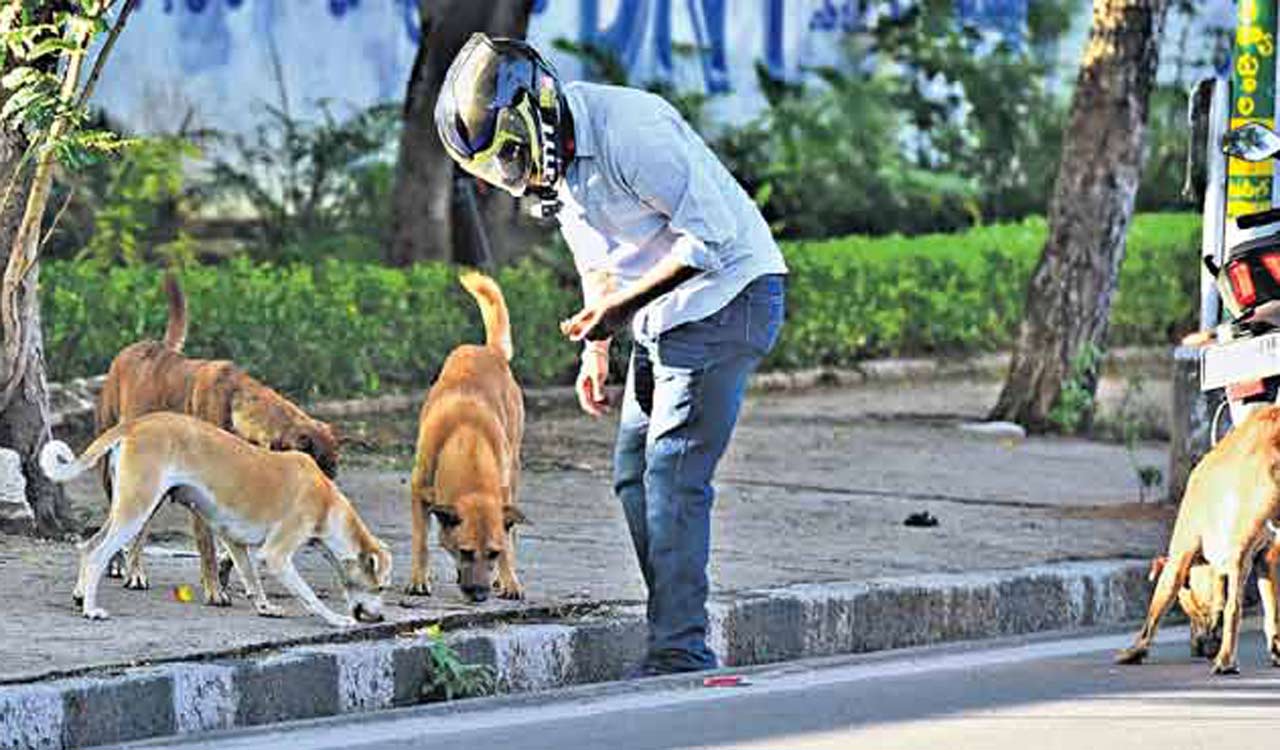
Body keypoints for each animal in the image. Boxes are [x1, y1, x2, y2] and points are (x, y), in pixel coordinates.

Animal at [41, 412, 389, 627]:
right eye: (381, 586)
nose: (381, 618)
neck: (328, 503)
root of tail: (136, 424)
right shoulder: (277, 554)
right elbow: (309, 595)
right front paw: (336, 619)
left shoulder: (234, 542)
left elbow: (250, 577)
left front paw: (264, 607)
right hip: (137, 510)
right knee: (99, 554)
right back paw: (91, 609)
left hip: (127, 507)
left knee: (89, 545)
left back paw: (80, 595)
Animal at [96, 272, 340, 601]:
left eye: (333, 472)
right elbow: (208, 546)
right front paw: (214, 589)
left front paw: (226, 574)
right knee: (126, 523)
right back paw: (128, 568)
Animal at [409, 272, 529, 601]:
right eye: (464, 552)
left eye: (492, 554)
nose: (479, 595)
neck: (466, 441)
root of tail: (489, 350)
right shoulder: (417, 490)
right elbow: (421, 541)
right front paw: (419, 579)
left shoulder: (502, 498)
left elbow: (510, 544)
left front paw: (509, 579)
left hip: (514, 470)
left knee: (514, 531)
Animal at [1116, 406, 1280, 675]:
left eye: (1190, 607)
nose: (1198, 648)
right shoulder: (1266, 560)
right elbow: (1273, 610)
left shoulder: (1180, 555)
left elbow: (1155, 610)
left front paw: (1136, 650)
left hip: (1239, 548)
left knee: (1234, 608)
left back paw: (1225, 660)